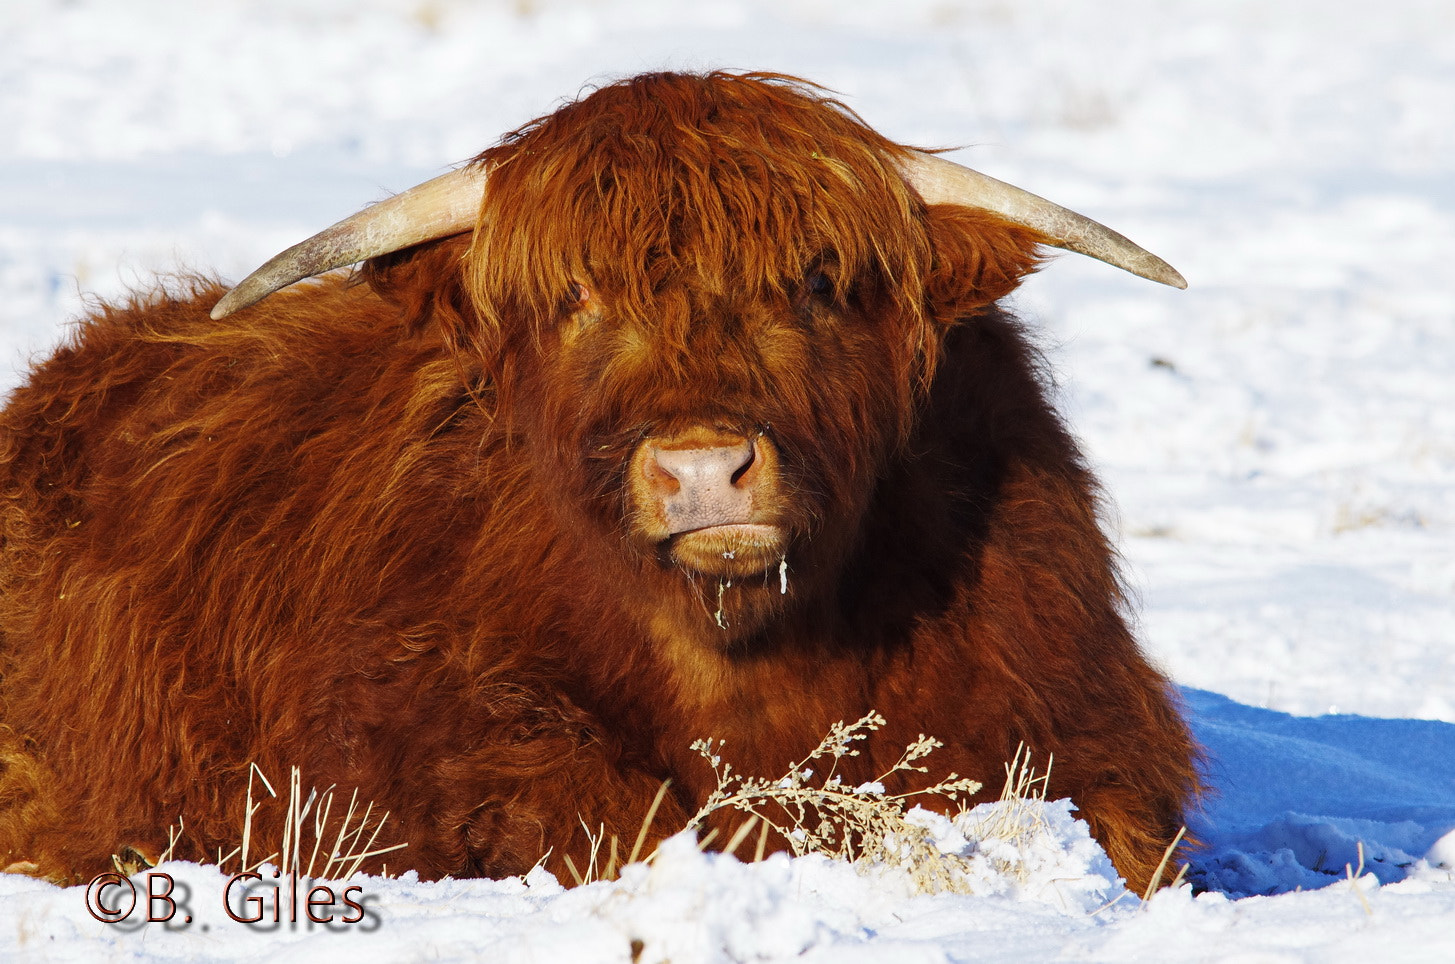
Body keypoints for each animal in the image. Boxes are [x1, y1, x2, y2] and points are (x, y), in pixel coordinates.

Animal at [2, 71, 1193, 895]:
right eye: (576, 294)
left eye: (816, 282)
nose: (704, 467)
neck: (741, 652)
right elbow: (604, 812)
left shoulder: (1079, 710)